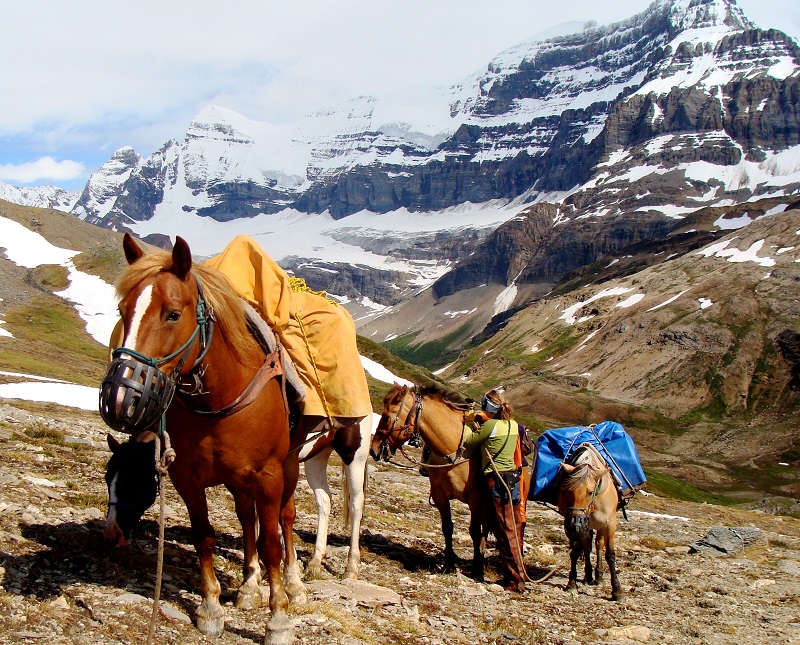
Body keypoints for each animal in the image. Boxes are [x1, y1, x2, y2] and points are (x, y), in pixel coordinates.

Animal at [99, 233, 304, 644]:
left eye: (173, 314)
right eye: (122, 310)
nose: (119, 395)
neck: (222, 399)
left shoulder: (269, 476)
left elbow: (272, 543)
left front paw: (278, 619)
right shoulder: (187, 479)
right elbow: (204, 536)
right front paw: (211, 608)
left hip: (289, 468)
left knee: (285, 520)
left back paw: (293, 584)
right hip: (239, 481)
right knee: (247, 520)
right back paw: (248, 586)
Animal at [557, 442, 623, 601]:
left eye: (590, 492)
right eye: (566, 491)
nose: (575, 523)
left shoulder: (610, 523)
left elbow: (610, 554)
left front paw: (617, 590)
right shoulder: (570, 526)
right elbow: (575, 552)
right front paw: (572, 583)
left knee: (598, 545)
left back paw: (598, 576)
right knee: (587, 546)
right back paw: (588, 575)